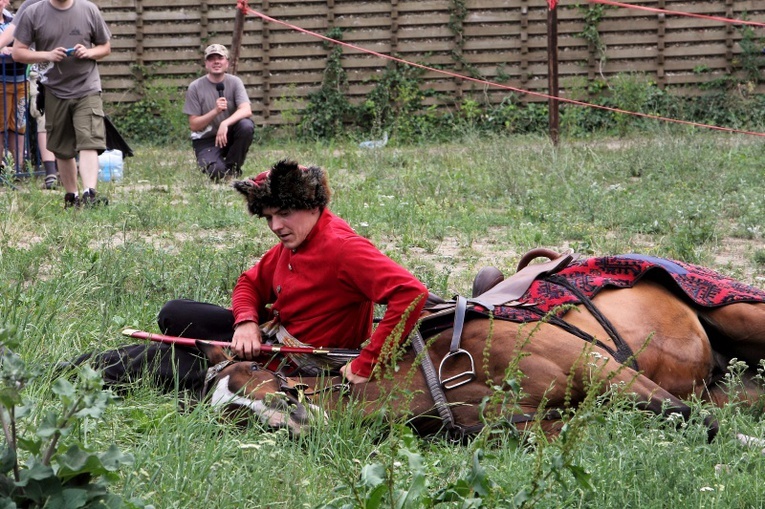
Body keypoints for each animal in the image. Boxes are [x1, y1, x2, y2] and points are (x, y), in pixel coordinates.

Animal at [194, 250, 764, 440]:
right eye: (234, 415)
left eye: (255, 377)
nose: (294, 422)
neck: (443, 374)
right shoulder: (546, 427)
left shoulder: (606, 370)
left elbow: (697, 424)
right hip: (726, 382)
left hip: (742, 315)